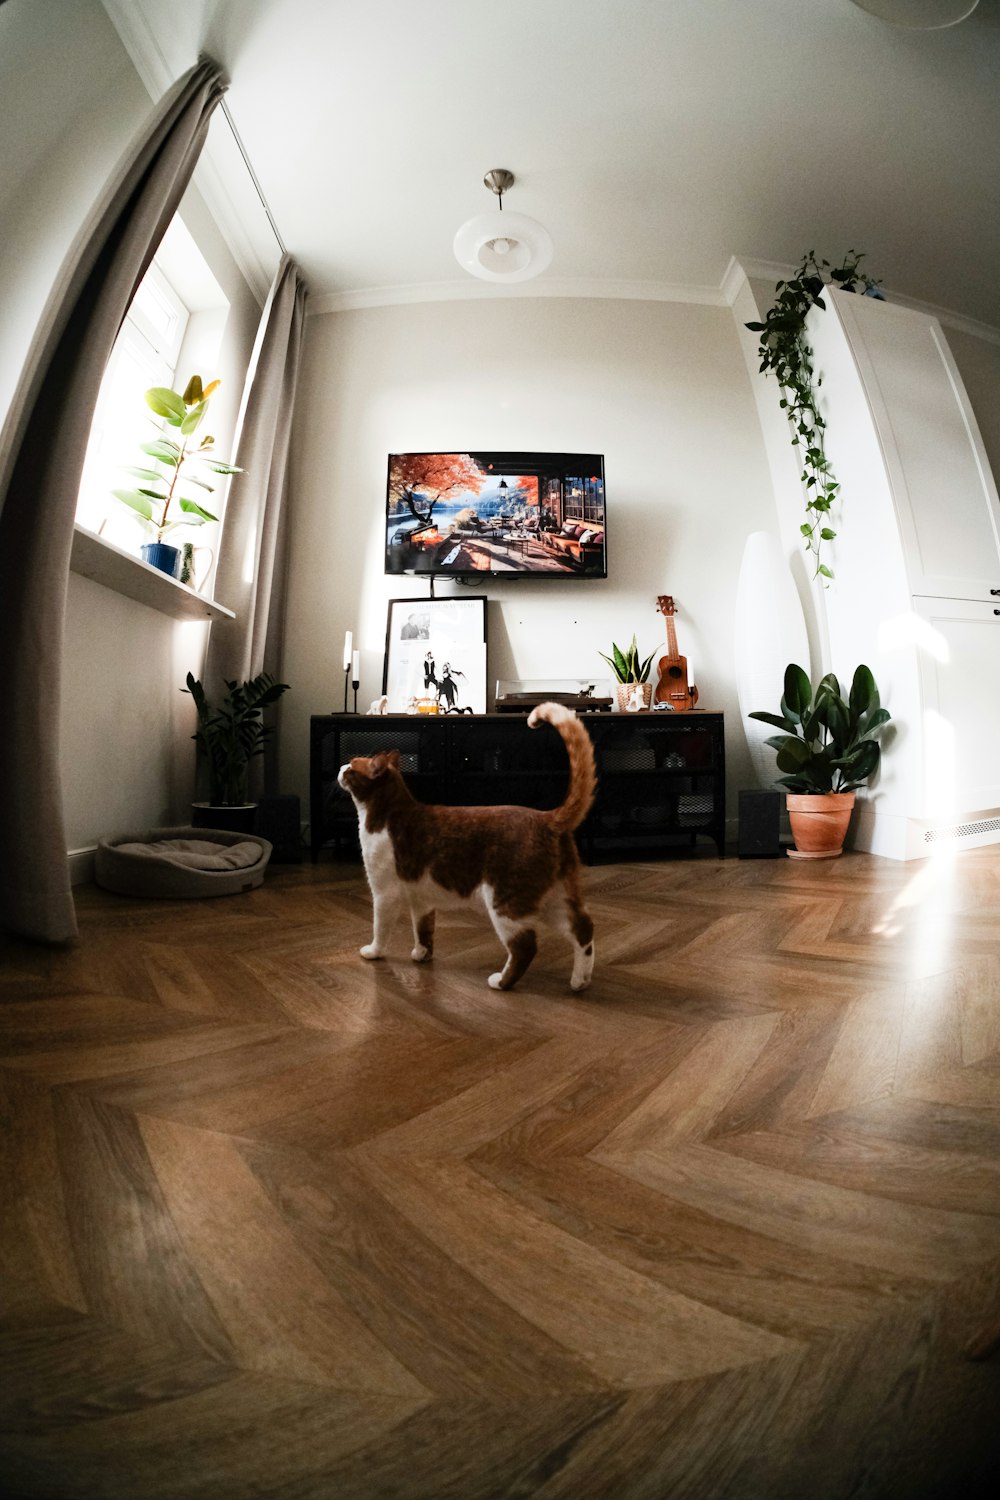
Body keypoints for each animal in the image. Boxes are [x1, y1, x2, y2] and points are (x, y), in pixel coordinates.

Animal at [340, 705, 599, 996]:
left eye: (351, 767)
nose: (339, 768)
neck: (385, 814)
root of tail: (548, 818)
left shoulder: (384, 893)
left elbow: (380, 927)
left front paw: (374, 952)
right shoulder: (421, 899)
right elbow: (423, 930)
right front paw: (421, 954)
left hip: (506, 903)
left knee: (526, 946)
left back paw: (501, 982)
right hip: (554, 899)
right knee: (583, 929)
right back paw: (580, 981)